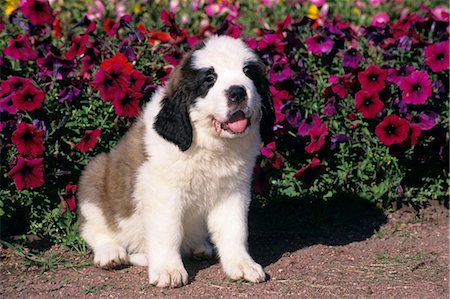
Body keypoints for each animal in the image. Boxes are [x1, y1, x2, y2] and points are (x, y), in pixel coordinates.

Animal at [77, 35, 274, 288]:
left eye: (248, 72)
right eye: (210, 79)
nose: (238, 92)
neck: (209, 144)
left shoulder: (233, 192)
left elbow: (235, 231)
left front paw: (241, 264)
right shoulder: (163, 193)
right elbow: (167, 232)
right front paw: (168, 270)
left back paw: (199, 247)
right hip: (95, 176)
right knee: (95, 229)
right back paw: (110, 253)